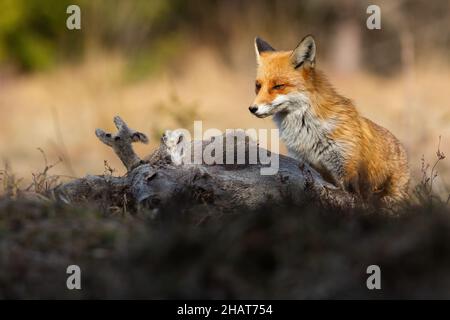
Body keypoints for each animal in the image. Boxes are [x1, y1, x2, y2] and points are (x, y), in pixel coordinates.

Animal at [251, 35, 410, 205]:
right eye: (258, 86)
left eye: (278, 86)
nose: (252, 108)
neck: (307, 131)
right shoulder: (303, 163)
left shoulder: (347, 171)